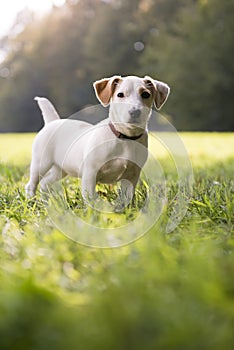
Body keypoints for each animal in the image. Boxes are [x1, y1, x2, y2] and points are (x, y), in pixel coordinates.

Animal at [25, 75, 170, 204]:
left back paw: (46, 201)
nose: (135, 112)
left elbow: (127, 197)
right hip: (41, 163)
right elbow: (90, 197)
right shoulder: (90, 172)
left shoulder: (132, 175)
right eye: (120, 95)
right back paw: (32, 200)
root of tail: (52, 122)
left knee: (45, 183)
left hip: (61, 169)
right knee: (32, 184)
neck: (125, 138)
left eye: (145, 94)